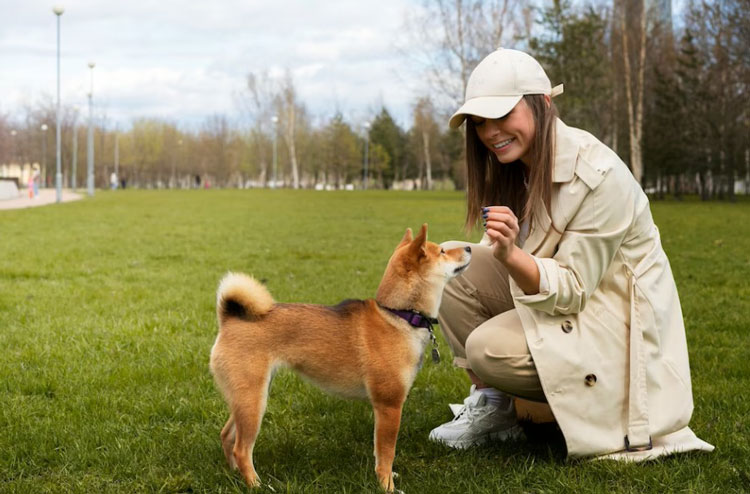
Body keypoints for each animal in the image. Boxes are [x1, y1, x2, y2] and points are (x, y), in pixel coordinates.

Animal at [210, 226, 470, 492]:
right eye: (442, 251)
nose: (469, 247)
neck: (398, 315)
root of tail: (229, 319)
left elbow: (379, 453)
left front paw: (387, 476)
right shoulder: (389, 406)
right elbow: (387, 453)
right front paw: (387, 486)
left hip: (249, 397)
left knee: (227, 436)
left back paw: (235, 474)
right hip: (253, 401)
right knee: (242, 448)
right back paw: (255, 484)